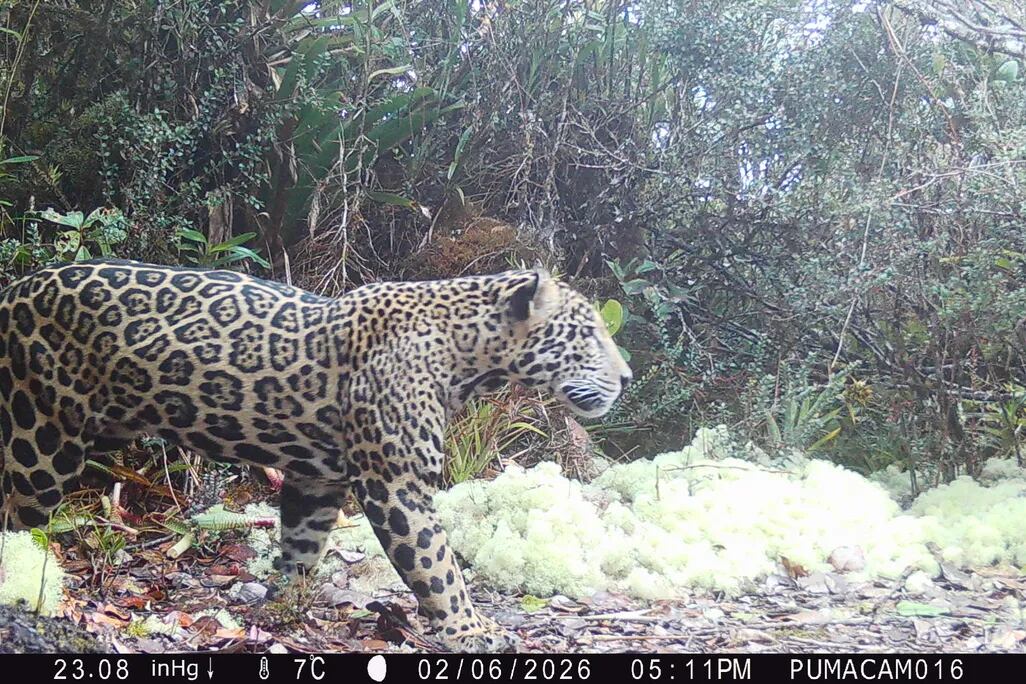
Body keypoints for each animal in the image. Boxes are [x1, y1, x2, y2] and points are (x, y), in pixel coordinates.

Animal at [0, 259, 631, 651]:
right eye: (588, 334)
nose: (627, 378)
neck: (467, 356)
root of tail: (13, 288)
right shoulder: (397, 483)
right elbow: (439, 567)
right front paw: (471, 630)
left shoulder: (317, 479)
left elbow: (302, 545)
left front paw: (285, 606)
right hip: (42, 437)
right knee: (17, 509)